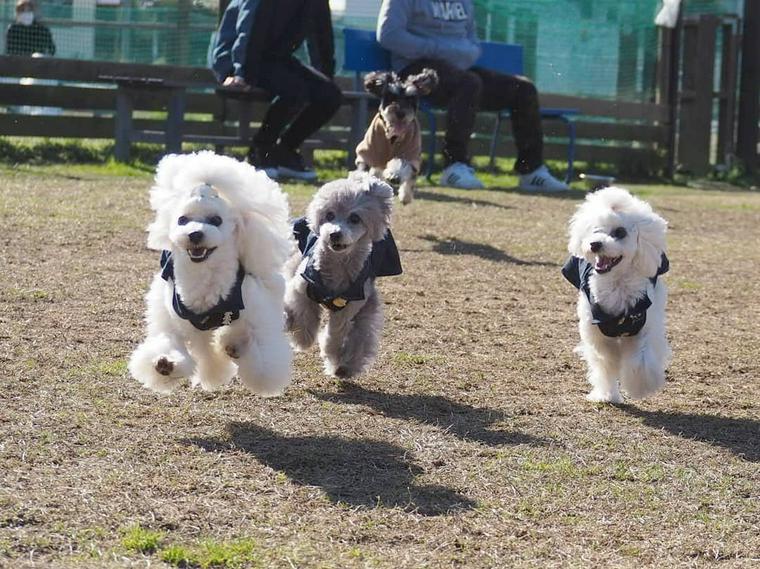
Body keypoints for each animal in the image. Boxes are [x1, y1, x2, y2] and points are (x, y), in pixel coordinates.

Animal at [127, 151, 294, 394]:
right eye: (182, 220)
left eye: (216, 220)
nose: (195, 234)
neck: (206, 277)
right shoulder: (174, 317)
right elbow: (171, 339)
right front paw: (165, 363)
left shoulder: (257, 312)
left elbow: (263, 353)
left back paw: (233, 346)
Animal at [560, 189, 672, 402]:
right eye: (595, 230)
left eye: (620, 232)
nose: (595, 244)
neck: (617, 283)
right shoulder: (597, 333)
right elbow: (606, 363)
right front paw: (607, 394)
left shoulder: (645, 326)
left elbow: (641, 359)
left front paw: (640, 387)